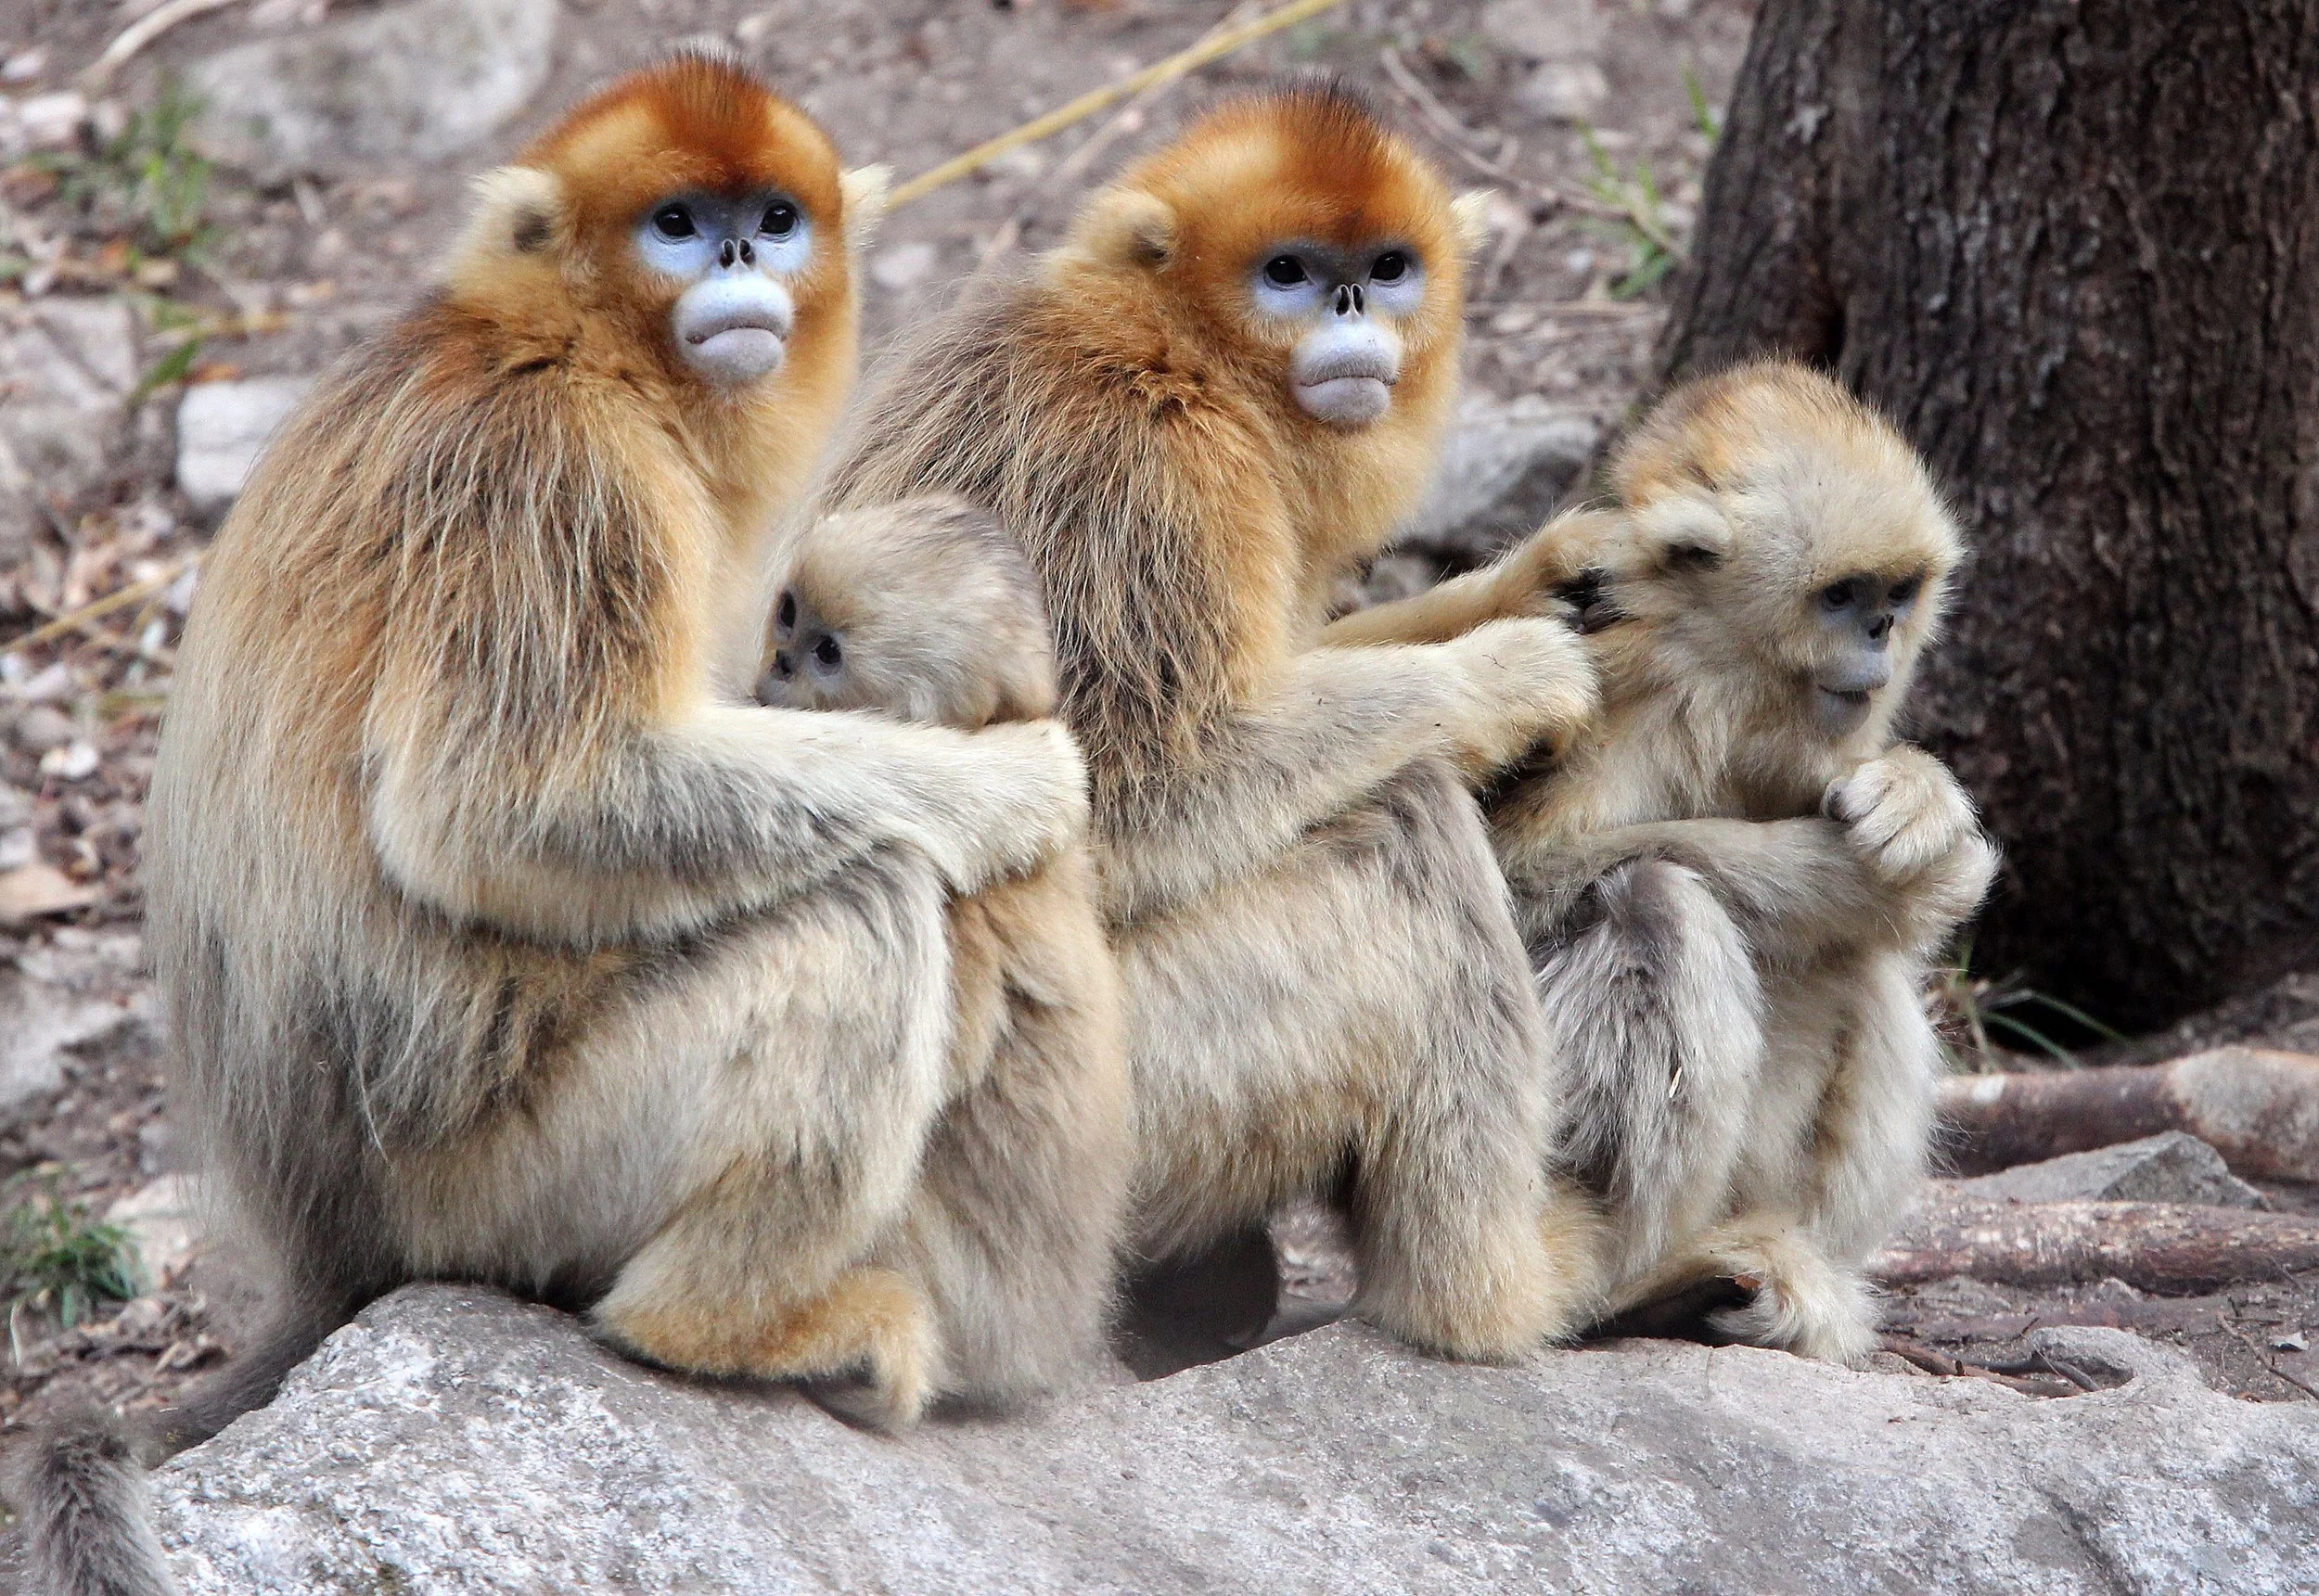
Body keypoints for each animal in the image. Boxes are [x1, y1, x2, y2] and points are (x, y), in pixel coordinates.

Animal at [820, 86, 1608, 1366]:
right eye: (1288, 273)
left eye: (1386, 268)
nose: (1349, 310)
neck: (1184, 351)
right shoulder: (1148, 473)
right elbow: (1134, 804)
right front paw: (1504, 673)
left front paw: (1537, 575)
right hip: (1103, 1102)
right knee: (1412, 827)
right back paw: (1494, 1296)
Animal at [1329, 361, 1997, 1363]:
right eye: (1841, 596)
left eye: (1897, 591)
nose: (1881, 629)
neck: (1722, 680)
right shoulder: (1625, 697)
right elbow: (1524, 880)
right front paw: (1871, 875)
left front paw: (1920, 796)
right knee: (1659, 903)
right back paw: (1630, 1289)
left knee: (1866, 965)